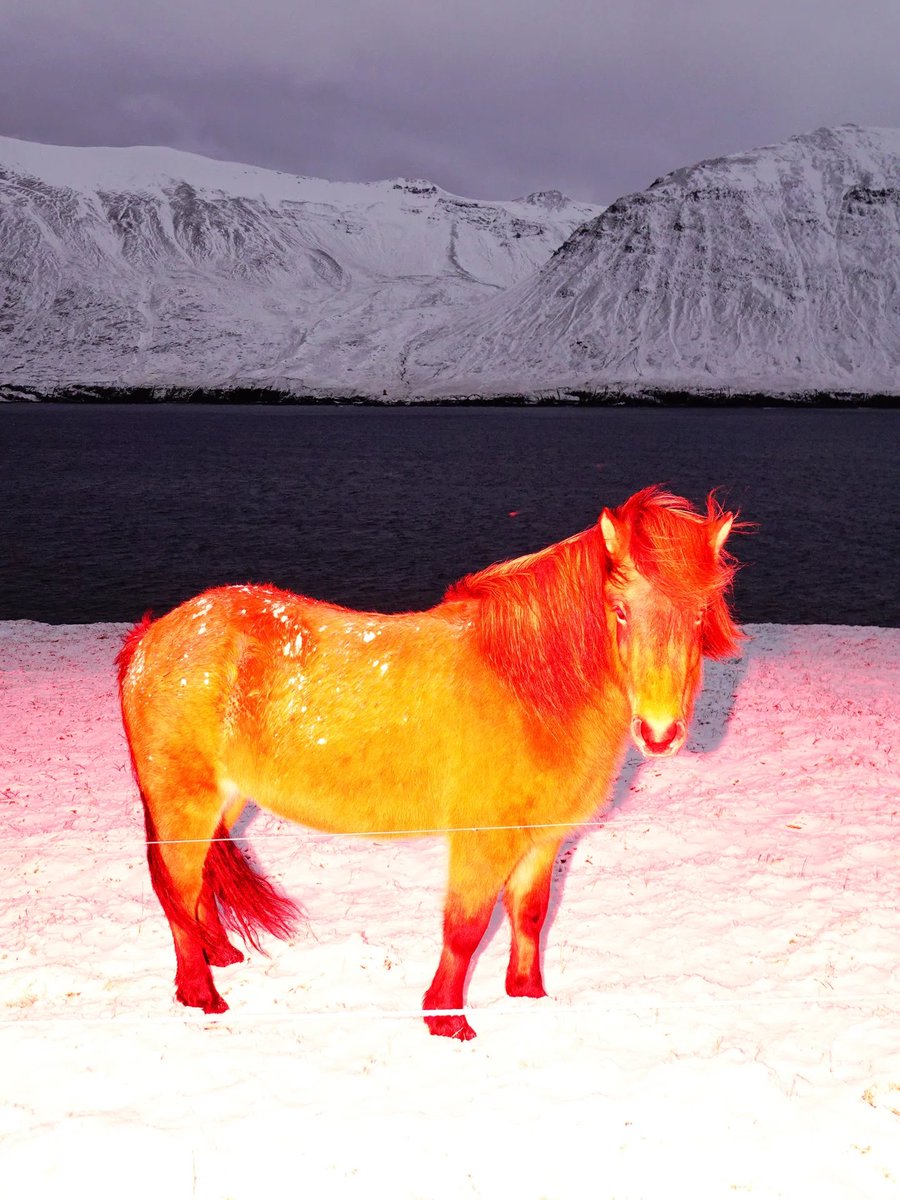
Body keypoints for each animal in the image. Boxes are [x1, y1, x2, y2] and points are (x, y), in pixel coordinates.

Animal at [117, 486, 741, 1039]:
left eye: (700, 613)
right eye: (619, 610)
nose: (659, 733)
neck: (527, 686)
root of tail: (154, 636)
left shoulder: (543, 841)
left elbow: (530, 914)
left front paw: (528, 996)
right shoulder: (483, 841)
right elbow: (465, 929)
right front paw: (446, 1021)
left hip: (224, 801)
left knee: (199, 885)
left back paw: (221, 956)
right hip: (183, 803)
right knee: (176, 892)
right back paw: (201, 994)